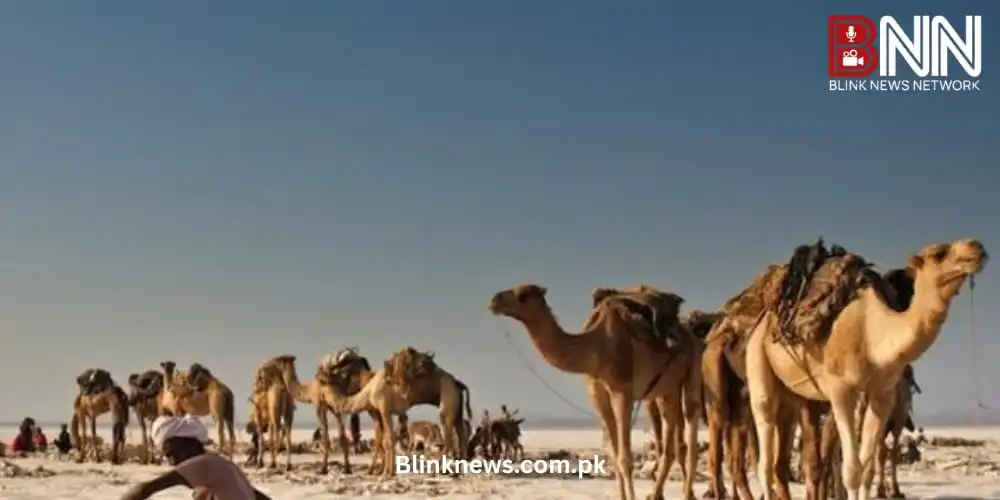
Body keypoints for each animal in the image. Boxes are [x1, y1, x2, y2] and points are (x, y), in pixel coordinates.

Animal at [490, 284, 703, 500]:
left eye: (522, 295)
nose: (494, 301)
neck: (595, 348)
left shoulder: (622, 392)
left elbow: (625, 458)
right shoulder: (597, 394)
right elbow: (614, 455)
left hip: (691, 372)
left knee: (689, 423)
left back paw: (687, 494)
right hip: (665, 388)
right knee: (672, 440)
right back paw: (661, 494)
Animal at [747, 238, 987, 500]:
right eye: (938, 253)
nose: (976, 247)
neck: (872, 334)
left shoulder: (882, 394)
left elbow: (867, 467)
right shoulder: (841, 391)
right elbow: (852, 469)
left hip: (794, 397)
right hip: (757, 358)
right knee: (765, 457)